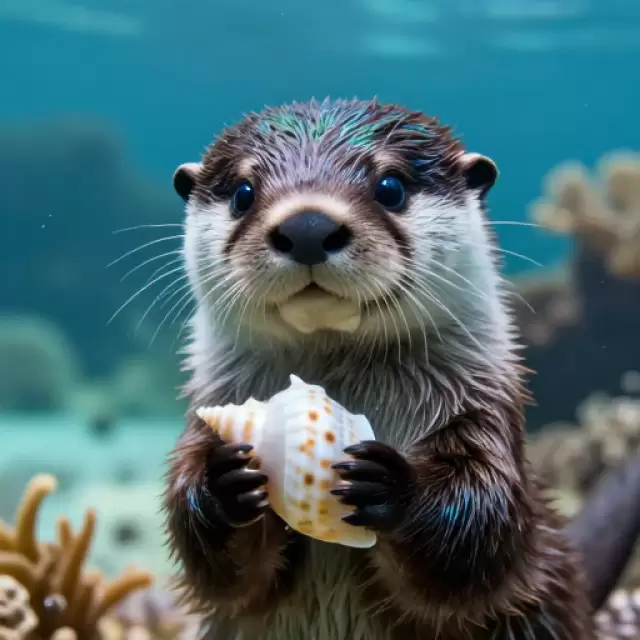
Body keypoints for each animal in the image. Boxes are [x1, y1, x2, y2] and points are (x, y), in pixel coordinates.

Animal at [163, 98, 640, 639]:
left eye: (390, 187)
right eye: (243, 194)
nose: (308, 227)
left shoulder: (484, 417)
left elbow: (480, 529)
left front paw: (392, 486)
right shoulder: (204, 413)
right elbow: (216, 571)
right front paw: (222, 484)